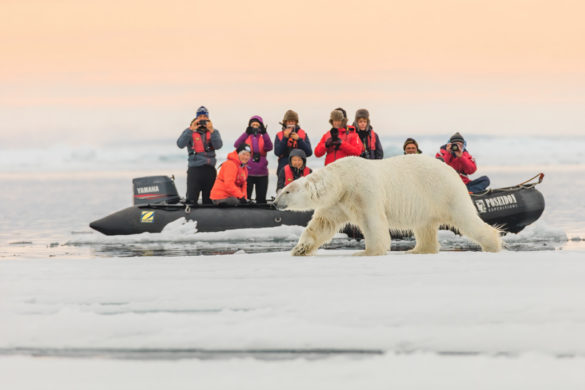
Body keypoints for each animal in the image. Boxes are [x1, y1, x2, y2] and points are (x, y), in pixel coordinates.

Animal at [272, 154, 498, 258]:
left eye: (287, 191)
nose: (274, 203)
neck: (342, 179)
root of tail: (453, 171)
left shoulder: (363, 191)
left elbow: (373, 221)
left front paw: (367, 252)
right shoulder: (338, 202)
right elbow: (321, 224)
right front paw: (300, 249)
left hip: (444, 192)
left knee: (466, 219)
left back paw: (493, 244)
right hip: (426, 204)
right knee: (424, 227)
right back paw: (417, 250)